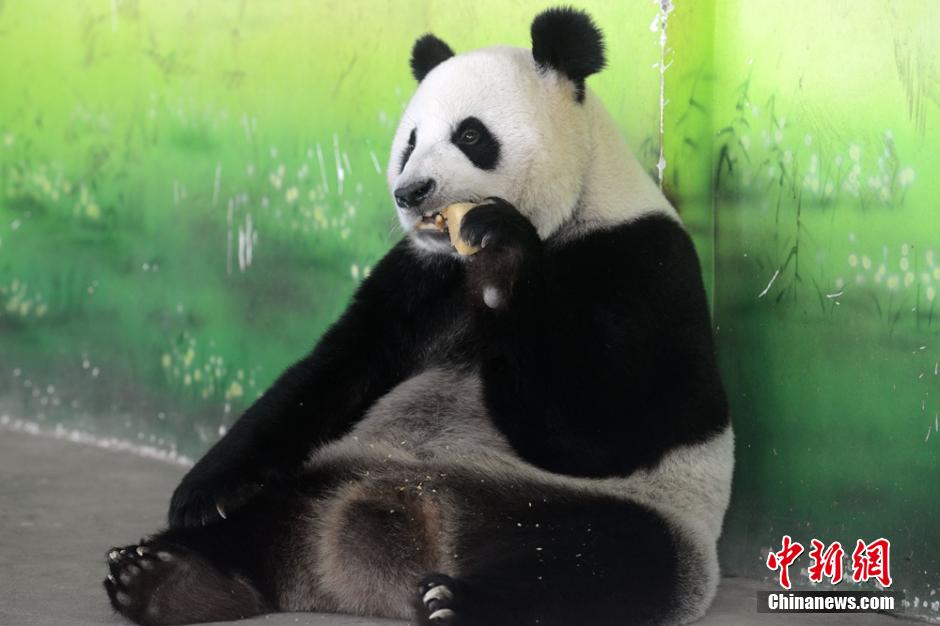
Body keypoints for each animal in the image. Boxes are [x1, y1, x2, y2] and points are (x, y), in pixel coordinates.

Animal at [103, 7, 732, 626]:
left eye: (471, 135)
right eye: (409, 143)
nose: (411, 192)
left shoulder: (642, 264)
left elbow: (604, 422)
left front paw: (502, 256)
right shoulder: (417, 279)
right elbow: (334, 369)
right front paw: (200, 494)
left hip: (612, 513)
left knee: (604, 563)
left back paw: (461, 603)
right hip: (329, 472)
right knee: (259, 520)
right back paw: (167, 578)